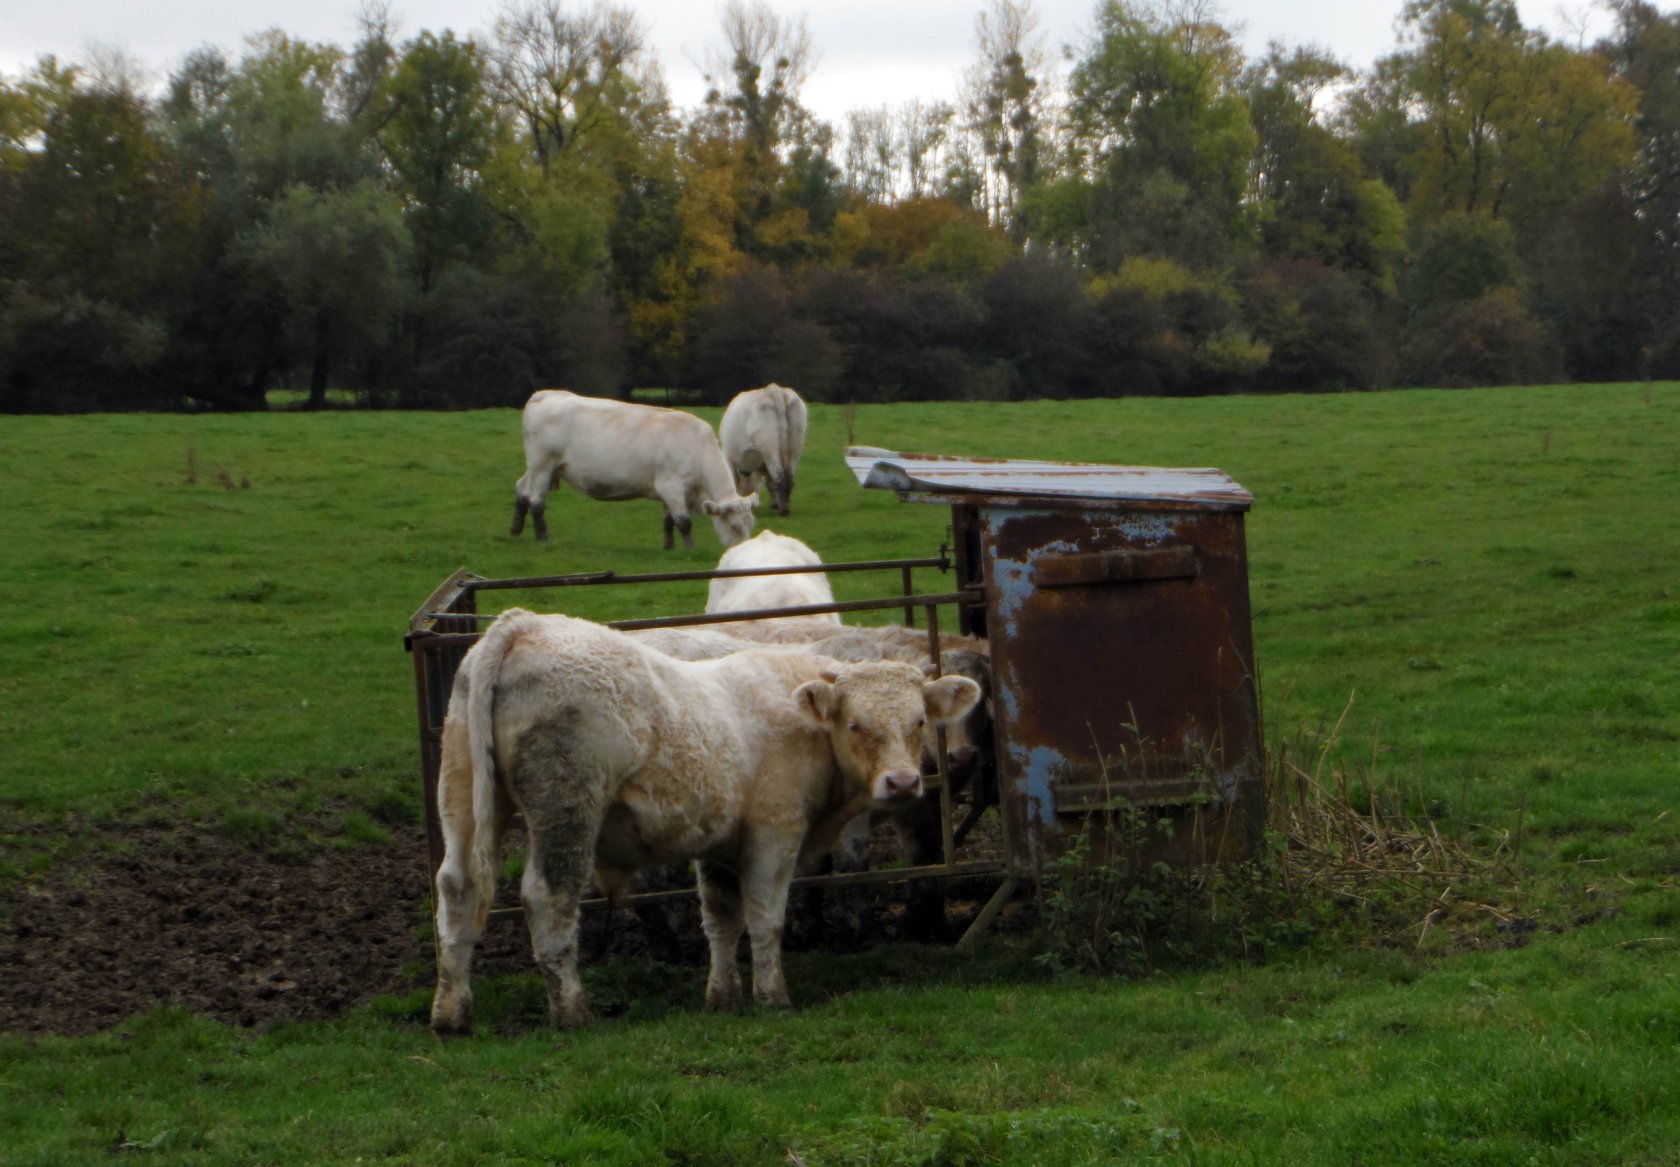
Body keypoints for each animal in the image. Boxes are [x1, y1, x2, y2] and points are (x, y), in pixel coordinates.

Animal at [426, 611, 981, 1034]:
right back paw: (572, 1012)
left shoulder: (720, 844)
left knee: (457, 889)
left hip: (462, 798)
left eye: (919, 721)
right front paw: (772, 996)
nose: (903, 783)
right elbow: (765, 918)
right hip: (566, 809)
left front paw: (723, 997)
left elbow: (721, 919)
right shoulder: (775, 833)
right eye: (855, 723)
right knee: (549, 897)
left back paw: (452, 1014)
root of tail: (524, 624)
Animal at [503, 392, 756, 550]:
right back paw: (543, 538)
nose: (742, 553)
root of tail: (546, 394)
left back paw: (515, 530)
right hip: (543, 464)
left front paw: (669, 547)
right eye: (734, 526)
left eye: (751, 524)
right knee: (536, 501)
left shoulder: (667, 491)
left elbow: (668, 521)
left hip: (544, 467)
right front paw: (690, 548)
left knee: (522, 489)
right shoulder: (671, 486)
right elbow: (683, 521)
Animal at [715, 382, 806, 517]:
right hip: (796, 444)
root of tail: (772, 389)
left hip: (767, 444)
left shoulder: (728, 456)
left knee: (779, 475)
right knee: (788, 476)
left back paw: (784, 510)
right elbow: (768, 482)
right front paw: (773, 503)